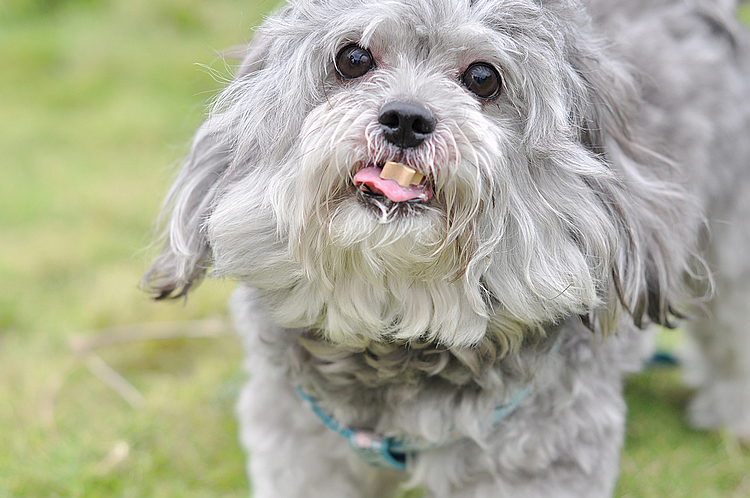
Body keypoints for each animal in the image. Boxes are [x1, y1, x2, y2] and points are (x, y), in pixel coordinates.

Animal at [145, 0, 750, 496]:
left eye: (483, 77)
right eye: (353, 58)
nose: (406, 118)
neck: (403, 318)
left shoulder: (540, 457)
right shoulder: (301, 438)